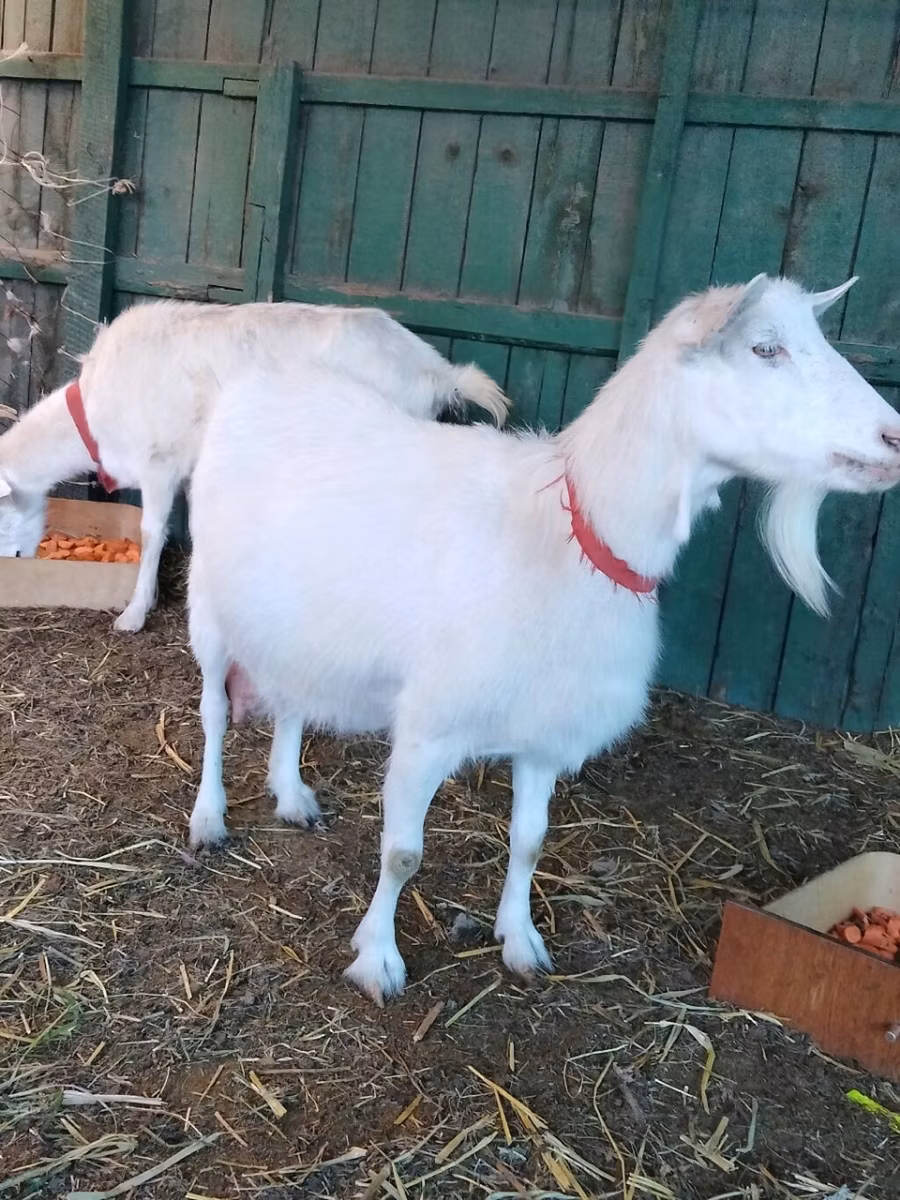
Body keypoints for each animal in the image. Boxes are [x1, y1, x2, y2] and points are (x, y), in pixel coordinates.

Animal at [185, 274, 900, 1004]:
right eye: (765, 348)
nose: (892, 436)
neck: (570, 531)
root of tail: (261, 379)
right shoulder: (429, 724)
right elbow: (403, 852)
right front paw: (378, 960)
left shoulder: (546, 730)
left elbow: (530, 839)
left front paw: (521, 941)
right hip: (207, 602)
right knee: (213, 712)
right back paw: (209, 819)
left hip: (291, 621)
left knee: (291, 699)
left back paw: (291, 795)